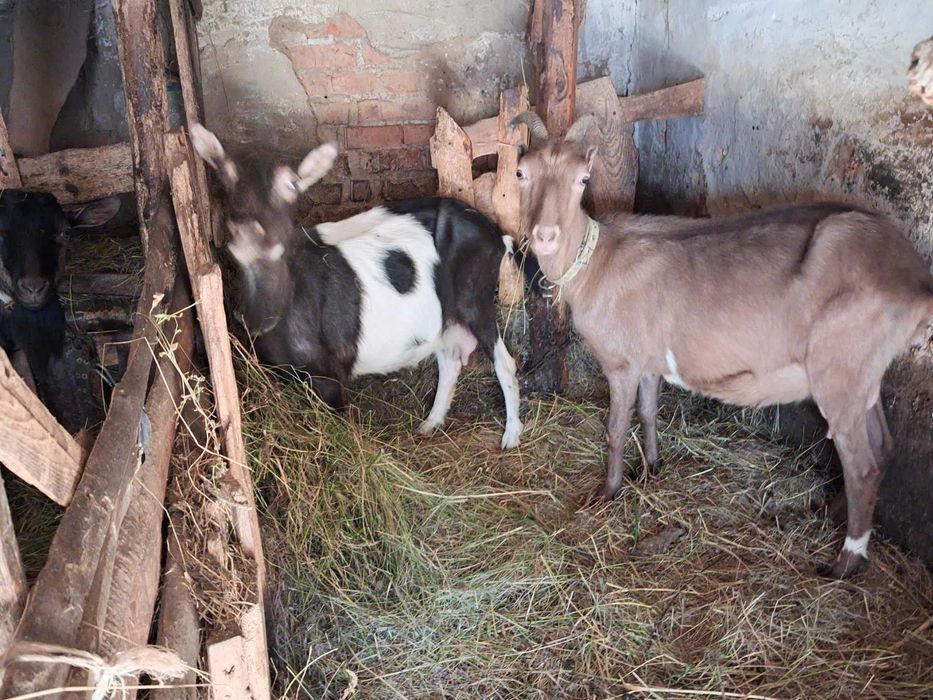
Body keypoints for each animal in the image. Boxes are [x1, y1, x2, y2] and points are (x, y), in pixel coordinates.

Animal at [191, 124, 523, 450]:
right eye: (226, 179)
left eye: (293, 185)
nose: (251, 233)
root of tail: (495, 233)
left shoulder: (330, 375)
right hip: (444, 314)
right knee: (450, 359)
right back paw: (429, 425)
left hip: (475, 295)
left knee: (504, 361)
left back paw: (511, 437)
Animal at [512, 111, 933, 578]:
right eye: (520, 173)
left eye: (583, 179)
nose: (545, 235)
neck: (596, 262)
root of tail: (914, 278)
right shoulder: (649, 360)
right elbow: (649, 411)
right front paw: (652, 468)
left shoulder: (621, 362)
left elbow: (615, 428)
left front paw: (608, 492)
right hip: (864, 374)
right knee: (882, 447)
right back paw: (834, 513)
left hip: (840, 369)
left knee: (861, 464)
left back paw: (845, 560)